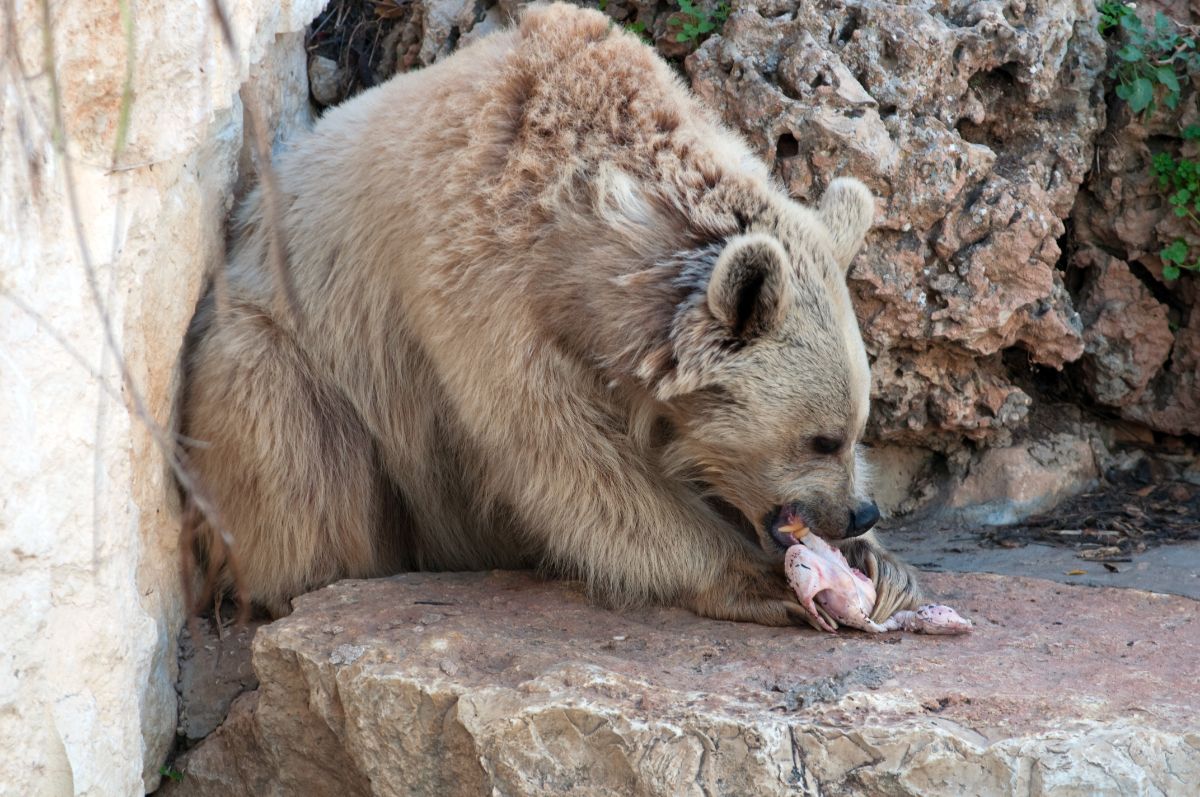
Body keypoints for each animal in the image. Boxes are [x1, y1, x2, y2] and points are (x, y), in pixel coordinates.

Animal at [182, 3, 921, 628]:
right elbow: (570, 461)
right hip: (290, 348)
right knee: (293, 449)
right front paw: (760, 580)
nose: (858, 512)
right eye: (820, 438)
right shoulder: (482, 295)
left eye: (859, 426)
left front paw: (885, 569)